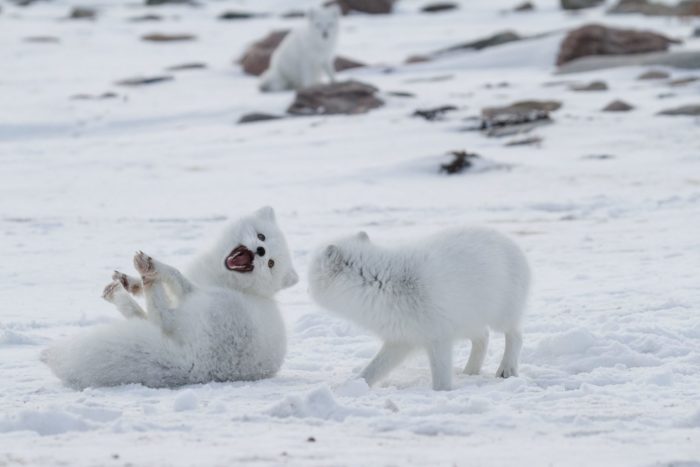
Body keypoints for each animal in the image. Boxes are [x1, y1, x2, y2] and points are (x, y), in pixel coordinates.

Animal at [41, 208, 298, 392]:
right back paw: (122, 289)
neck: (223, 279)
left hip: (208, 306)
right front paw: (130, 282)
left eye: (271, 264)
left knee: (161, 316)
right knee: (148, 318)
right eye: (261, 236)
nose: (261, 251)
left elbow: (175, 274)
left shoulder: (192, 289)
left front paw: (152, 269)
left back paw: (146, 272)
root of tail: (196, 368)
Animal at [308, 227, 532, 392]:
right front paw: (353, 386)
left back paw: (506, 369)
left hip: (501, 316)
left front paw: (442, 393)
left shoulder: (438, 337)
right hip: (468, 321)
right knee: (483, 338)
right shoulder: (400, 340)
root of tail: (511, 241)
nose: (306, 286)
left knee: (515, 336)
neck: (382, 283)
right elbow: (374, 369)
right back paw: (470, 371)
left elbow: (441, 376)